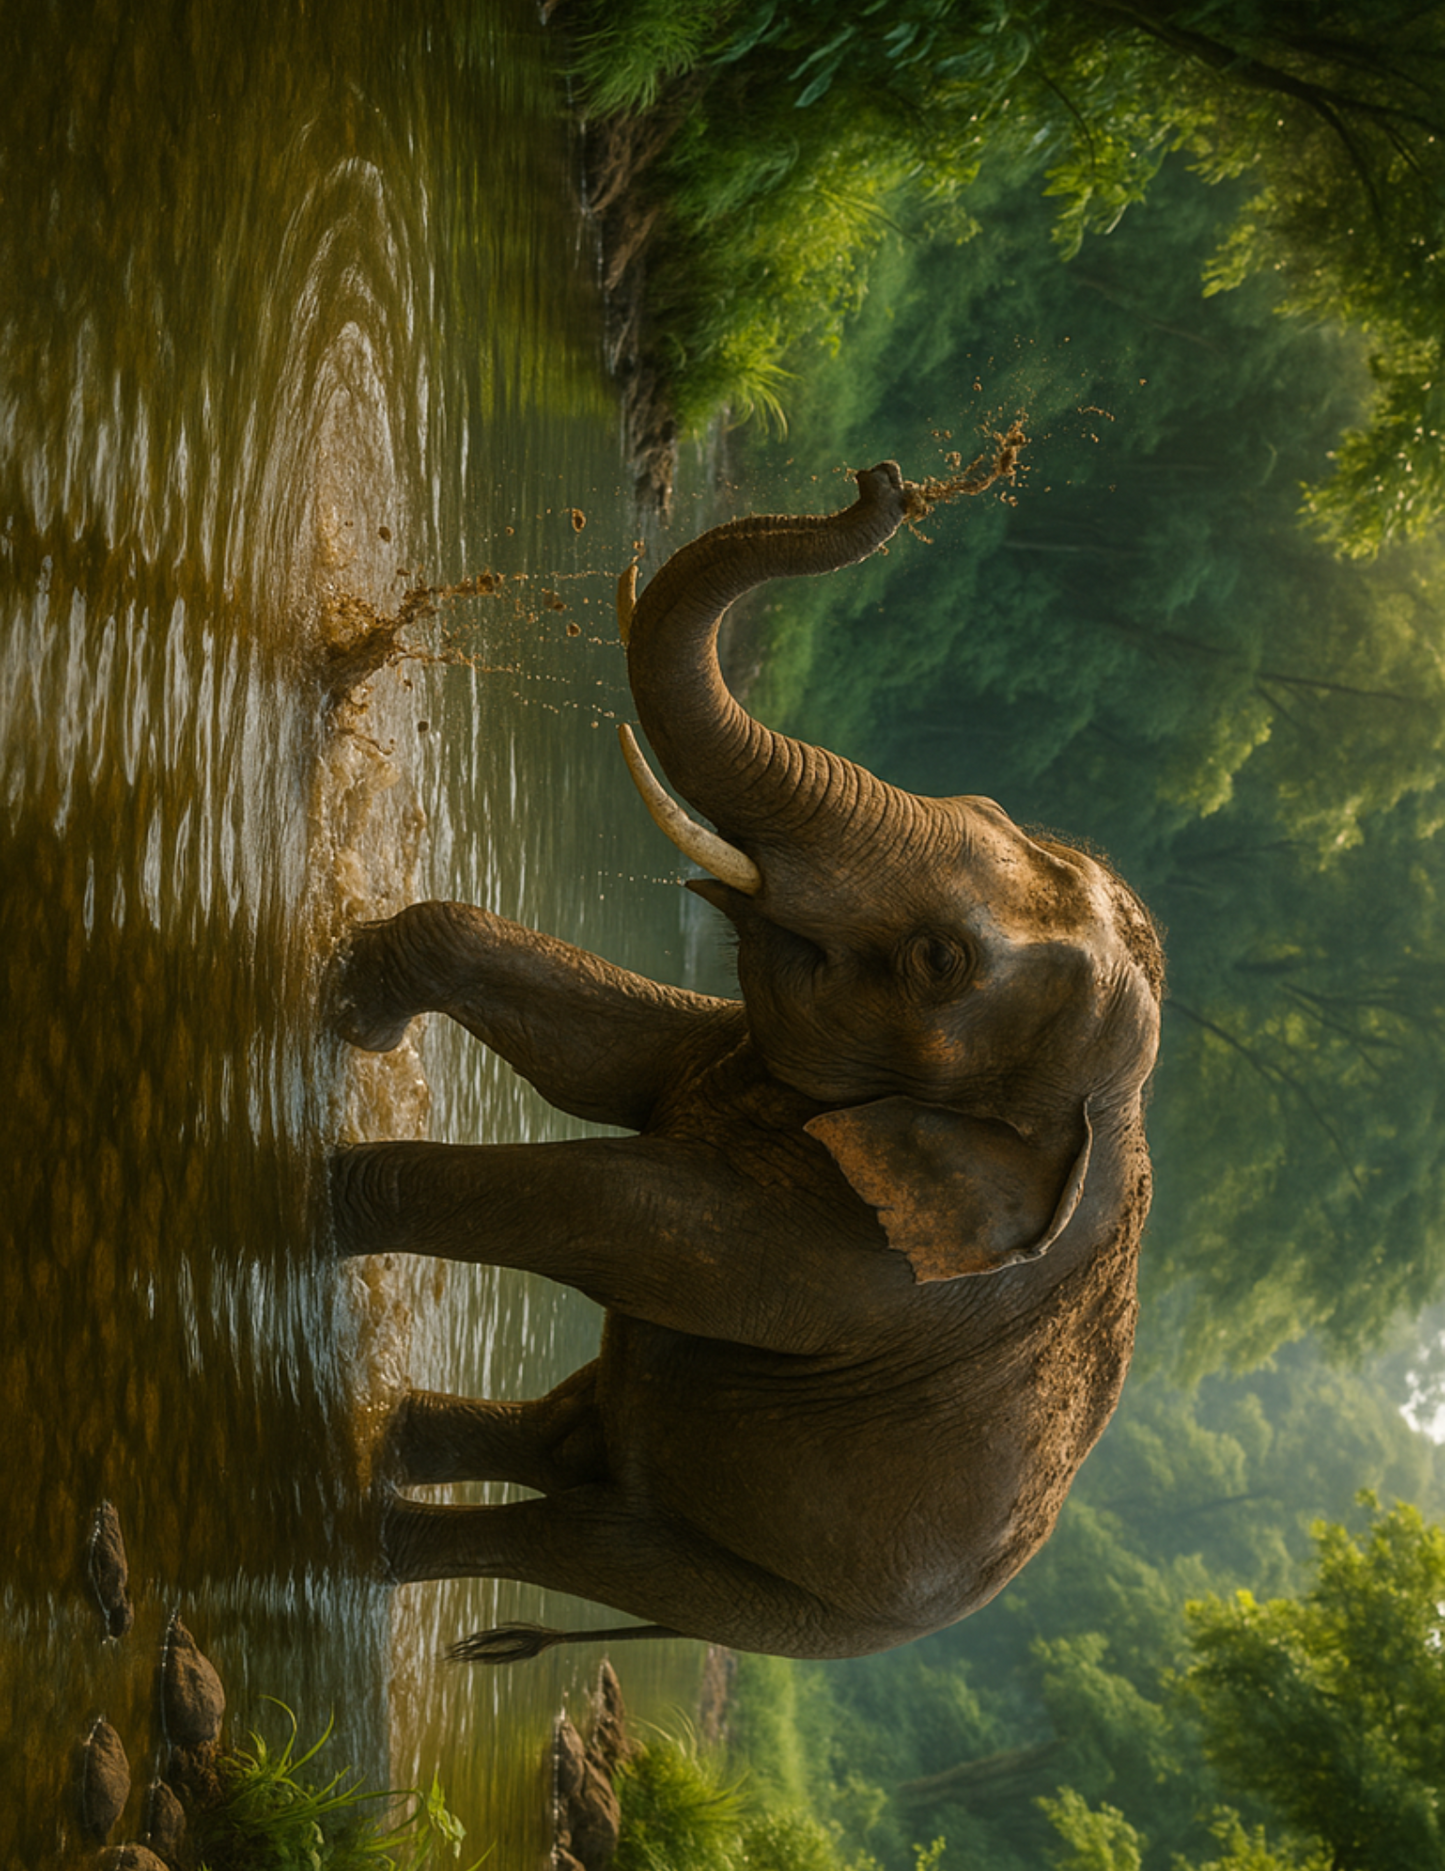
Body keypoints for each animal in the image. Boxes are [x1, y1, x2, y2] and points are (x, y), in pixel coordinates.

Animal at [328, 460, 1163, 1664]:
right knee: (567, 1436)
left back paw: (362, 1535)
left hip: (789, 1600)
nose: (887, 480)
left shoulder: (864, 1268)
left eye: (938, 961)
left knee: (593, 1540)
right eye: (982, 807)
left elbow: (629, 1217)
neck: (1115, 1115)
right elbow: (602, 1060)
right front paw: (348, 1003)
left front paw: (294, 1187)